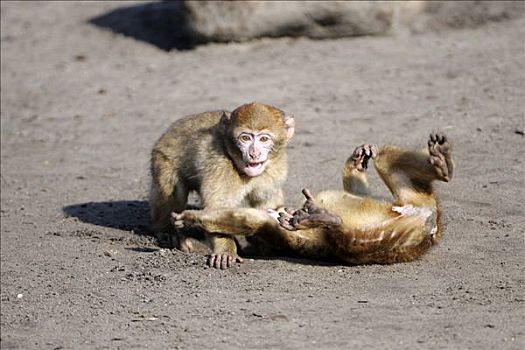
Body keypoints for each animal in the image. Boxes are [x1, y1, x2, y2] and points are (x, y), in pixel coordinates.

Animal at [147, 102, 294, 270]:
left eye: (264, 139)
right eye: (245, 138)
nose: (254, 154)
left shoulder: (276, 169)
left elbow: (265, 207)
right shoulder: (220, 165)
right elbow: (217, 209)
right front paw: (225, 250)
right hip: (163, 157)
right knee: (172, 192)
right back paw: (167, 231)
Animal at [171, 133, 450, 264]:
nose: (279, 210)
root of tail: (428, 231)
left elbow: (247, 220)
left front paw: (191, 218)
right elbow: (249, 220)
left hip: (394, 227)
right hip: (401, 224)